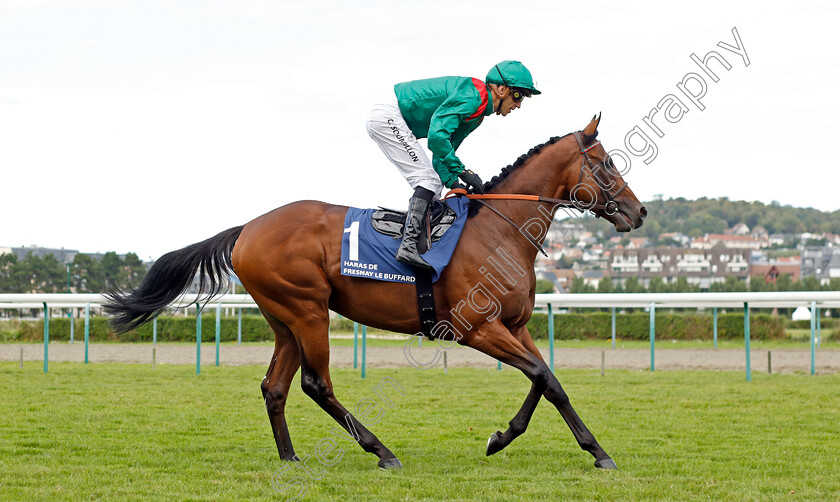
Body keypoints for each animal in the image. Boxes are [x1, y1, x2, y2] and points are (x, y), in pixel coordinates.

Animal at [103, 113, 644, 470]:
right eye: (606, 164)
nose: (637, 213)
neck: (500, 230)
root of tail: (247, 229)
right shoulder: (476, 329)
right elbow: (542, 376)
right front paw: (587, 450)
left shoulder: (515, 325)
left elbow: (546, 379)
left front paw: (514, 439)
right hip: (308, 311)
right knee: (315, 385)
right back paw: (381, 451)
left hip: (284, 318)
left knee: (274, 387)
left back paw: (291, 459)